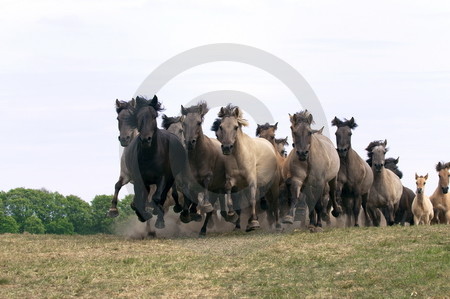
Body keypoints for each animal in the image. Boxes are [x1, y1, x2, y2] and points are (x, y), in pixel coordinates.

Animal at [179, 103, 229, 237]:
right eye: (184, 123)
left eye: (198, 122)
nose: (190, 142)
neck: (197, 157)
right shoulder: (188, 181)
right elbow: (188, 197)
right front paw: (187, 214)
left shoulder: (207, 177)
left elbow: (206, 200)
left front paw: (204, 207)